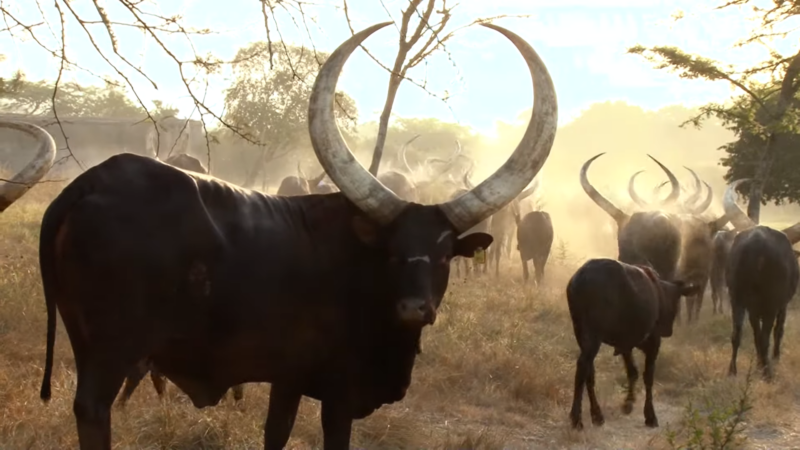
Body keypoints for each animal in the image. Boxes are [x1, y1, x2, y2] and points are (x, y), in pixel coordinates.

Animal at [32, 22, 556, 450]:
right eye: (392, 251)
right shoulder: (340, 394)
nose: (415, 308)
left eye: (446, 253)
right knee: (92, 411)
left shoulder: (288, 381)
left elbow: (276, 434)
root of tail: (90, 182)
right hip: (110, 351)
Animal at [720, 179, 800, 380]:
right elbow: (777, 331)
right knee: (766, 336)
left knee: (737, 333)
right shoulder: (781, 305)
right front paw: (772, 359)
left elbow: (754, 333)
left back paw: (733, 371)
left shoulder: (752, 308)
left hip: (737, 298)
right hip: (770, 303)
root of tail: (756, 244)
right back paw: (767, 371)